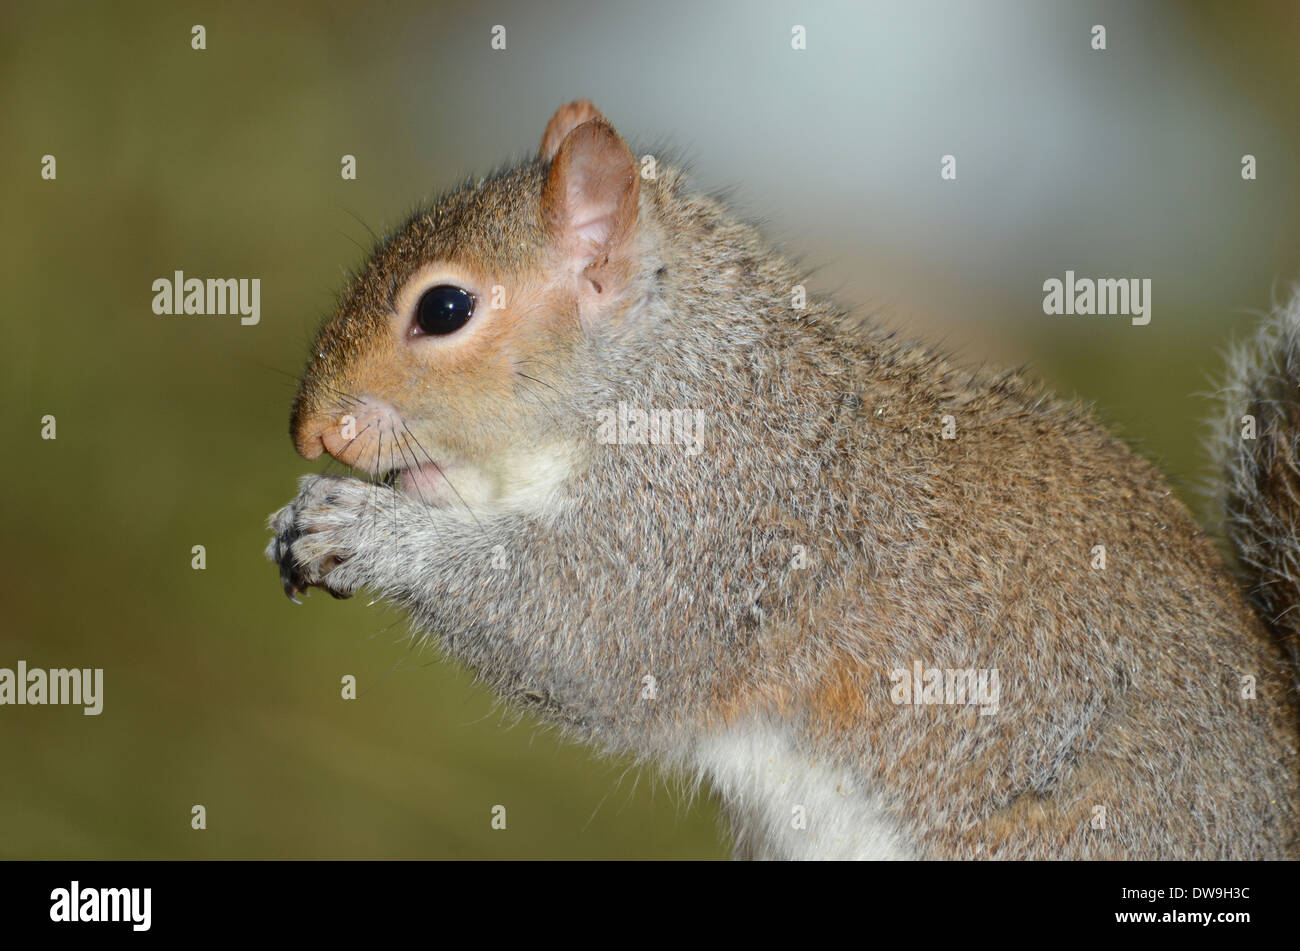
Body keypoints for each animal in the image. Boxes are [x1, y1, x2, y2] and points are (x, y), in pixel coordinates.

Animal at [263, 100, 1300, 857]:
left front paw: (365, 526)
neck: (676, 370)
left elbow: (590, 632)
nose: (310, 429)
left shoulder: (717, 516)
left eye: (444, 309)